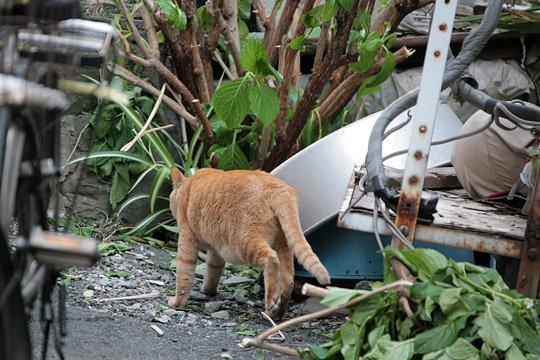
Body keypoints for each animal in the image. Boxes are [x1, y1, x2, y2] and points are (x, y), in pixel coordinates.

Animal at [168, 167, 330, 318]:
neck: (187, 187)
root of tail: (279, 189)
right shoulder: (215, 251)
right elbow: (213, 271)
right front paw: (208, 290)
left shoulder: (187, 240)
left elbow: (183, 275)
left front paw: (177, 302)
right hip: (284, 246)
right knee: (288, 280)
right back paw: (275, 314)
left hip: (244, 245)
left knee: (271, 259)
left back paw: (270, 303)